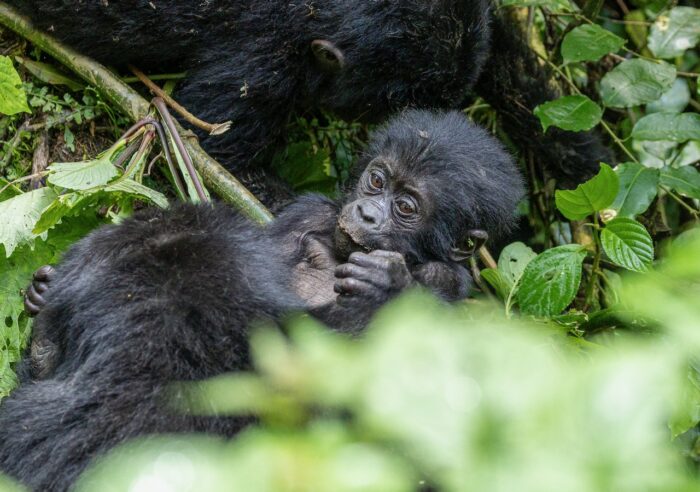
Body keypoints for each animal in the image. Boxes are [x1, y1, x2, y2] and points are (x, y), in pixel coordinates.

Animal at [0, 110, 525, 491]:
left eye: (406, 207)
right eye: (377, 181)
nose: (367, 213)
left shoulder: (451, 279)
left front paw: (389, 280)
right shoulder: (307, 213)